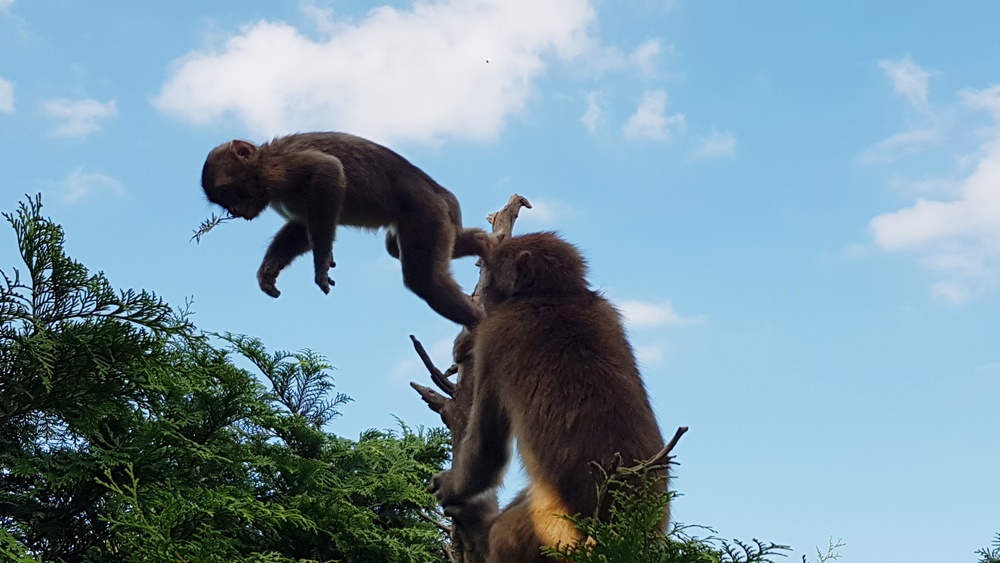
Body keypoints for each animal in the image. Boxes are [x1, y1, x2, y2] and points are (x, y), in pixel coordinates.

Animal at [200, 132, 491, 327]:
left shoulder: (278, 169)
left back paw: (477, 322)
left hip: (427, 212)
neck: (262, 168)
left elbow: (327, 170)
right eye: (223, 201)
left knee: (424, 278)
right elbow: (302, 226)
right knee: (397, 249)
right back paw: (480, 242)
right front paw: (269, 269)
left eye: (230, 192)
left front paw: (321, 263)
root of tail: (439, 192)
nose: (235, 211)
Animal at [428, 232, 667, 562]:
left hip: (550, 534)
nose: (484, 290)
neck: (553, 296)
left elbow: (487, 452)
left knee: (504, 535)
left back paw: (481, 531)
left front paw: (453, 485)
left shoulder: (496, 336)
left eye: (491, 275)